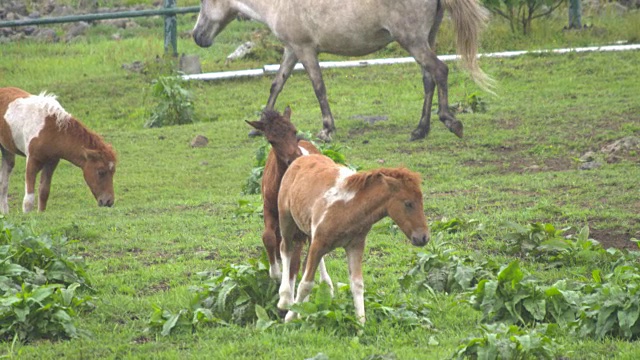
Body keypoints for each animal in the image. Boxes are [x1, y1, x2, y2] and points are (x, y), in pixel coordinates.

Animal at [246, 107, 336, 292]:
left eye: (294, 132)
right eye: (271, 140)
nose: (295, 157)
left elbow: (295, 261)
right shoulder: (269, 209)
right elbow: (268, 237)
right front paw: (275, 273)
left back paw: (326, 282)